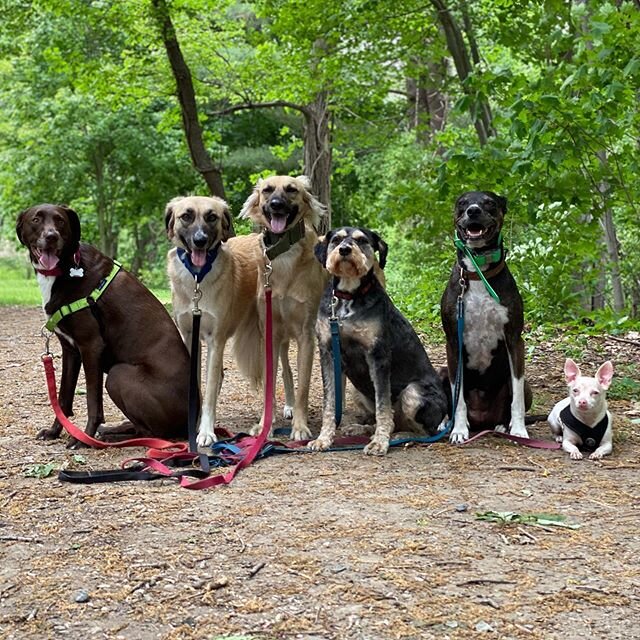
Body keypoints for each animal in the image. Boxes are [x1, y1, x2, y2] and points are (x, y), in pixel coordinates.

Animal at [240, 174, 330, 440]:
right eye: (267, 190)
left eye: (292, 190)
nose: (277, 204)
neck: (283, 256)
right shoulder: (269, 332)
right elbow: (271, 385)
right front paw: (264, 425)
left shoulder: (306, 334)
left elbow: (304, 388)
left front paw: (300, 427)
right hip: (280, 338)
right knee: (286, 372)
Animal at [312, 225, 450, 456]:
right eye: (336, 239)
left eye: (362, 240)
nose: (345, 250)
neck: (348, 298)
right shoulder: (328, 354)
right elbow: (330, 403)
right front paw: (323, 439)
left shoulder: (378, 356)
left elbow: (383, 406)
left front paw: (380, 443)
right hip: (357, 390)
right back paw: (364, 429)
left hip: (413, 393)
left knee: (423, 431)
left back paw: (400, 436)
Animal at [440, 190, 528, 442]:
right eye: (462, 203)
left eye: (489, 203)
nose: (473, 211)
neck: (478, 272)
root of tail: (482, 420)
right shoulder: (453, 343)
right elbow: (457, 397)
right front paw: (459, 430)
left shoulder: (514, 340)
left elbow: (517, 398)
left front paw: (519, 430)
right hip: (441, 372)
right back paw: (446, 423)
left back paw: (503, 426)